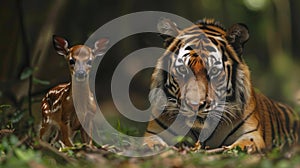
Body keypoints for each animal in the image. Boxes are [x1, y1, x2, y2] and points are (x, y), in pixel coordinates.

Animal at [144, 17, 298, 153]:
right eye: (182, 69)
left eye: (214, 71)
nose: (194, 105)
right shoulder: (153, 133)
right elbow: (150, 144)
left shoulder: (251, 134)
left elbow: (241, 147)